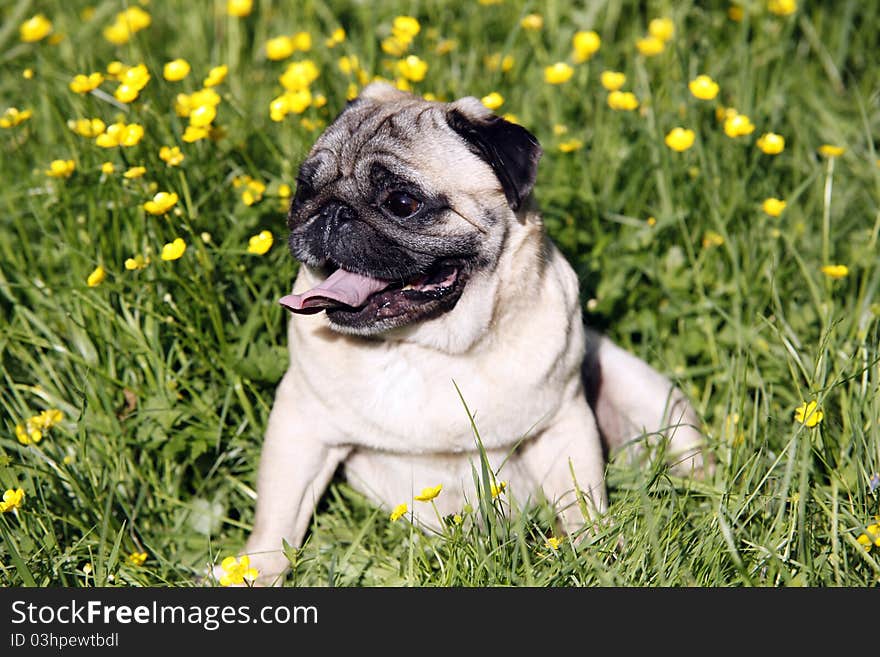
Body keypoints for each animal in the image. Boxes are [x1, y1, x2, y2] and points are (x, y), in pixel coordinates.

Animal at [237, 83, 704, 584]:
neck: (424, 347)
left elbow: (583, 505)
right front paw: (252, 571)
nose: (330, 212)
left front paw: (597, 559)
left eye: (402, 203)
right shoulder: (300, 424)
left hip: (649, 396)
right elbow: (277, 518)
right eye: (305, 188)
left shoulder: (562, 424)